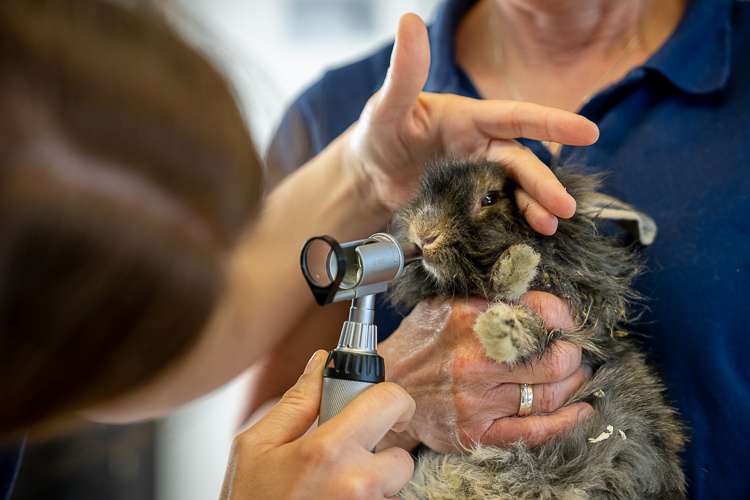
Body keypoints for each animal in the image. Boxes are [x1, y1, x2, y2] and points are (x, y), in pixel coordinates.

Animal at [390, 158, 692, 498]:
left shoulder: (583, 324)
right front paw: (512, 277)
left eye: (489, 199)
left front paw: (513, 277)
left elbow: (528, 317)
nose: (424, 236)